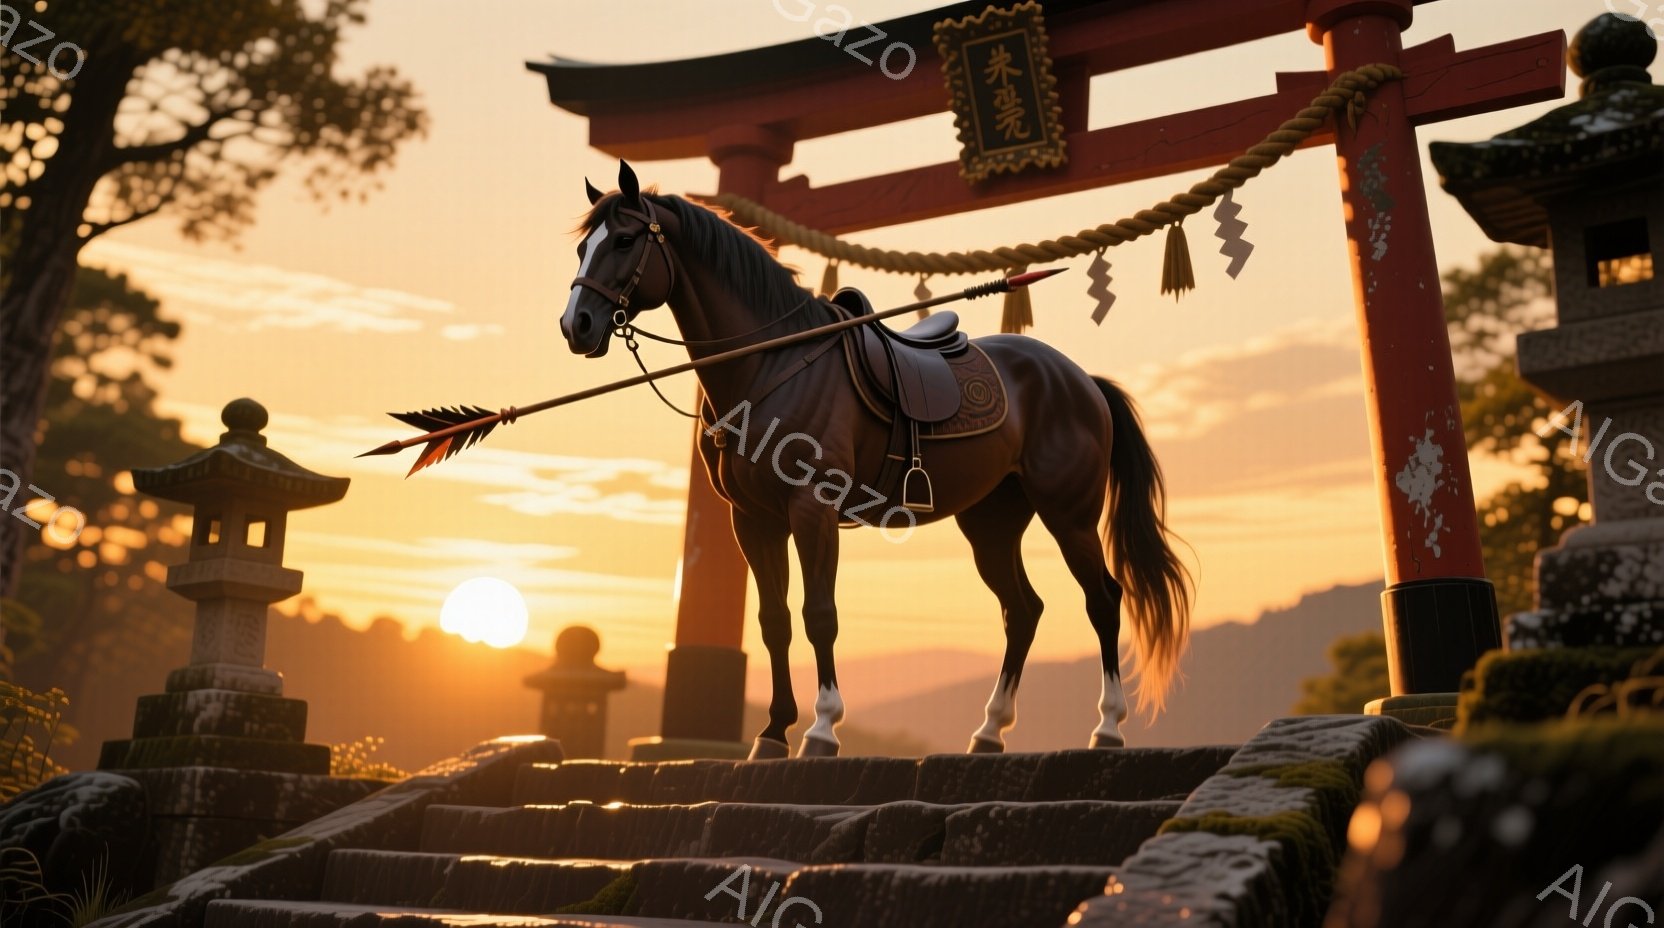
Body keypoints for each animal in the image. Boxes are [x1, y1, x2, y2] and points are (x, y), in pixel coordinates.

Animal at [560, 160, 1192, 760]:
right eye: (582, 247)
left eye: (623, 241)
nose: (576, 326)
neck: (772, 365)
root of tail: (1082, 380)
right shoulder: (753, 520)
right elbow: (774, 621)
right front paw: (774, 731)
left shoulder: (811, 509)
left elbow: (819, 614)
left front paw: (822, 728)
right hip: (992, 522)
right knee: (1023, 609)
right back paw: (989, 731)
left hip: (1069, 514)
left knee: (1103, 599)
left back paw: (1106, 727)